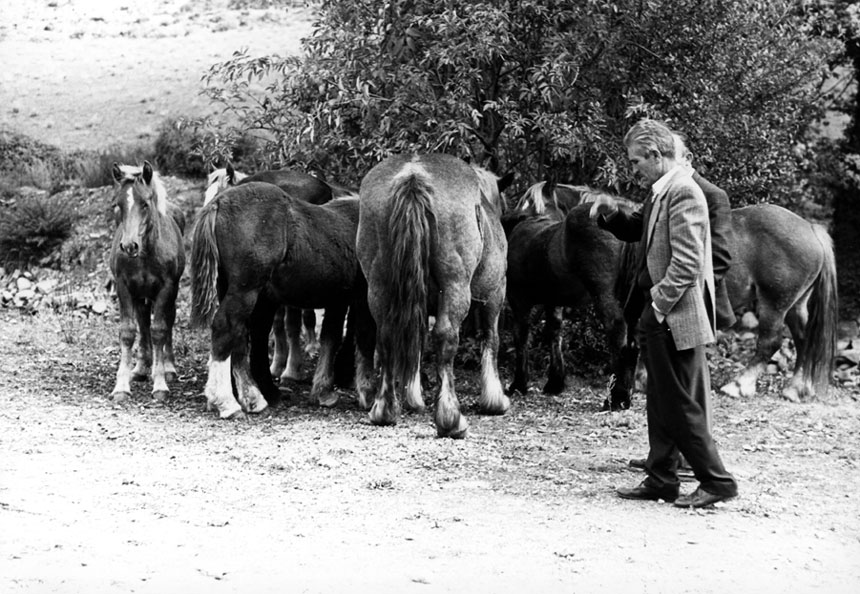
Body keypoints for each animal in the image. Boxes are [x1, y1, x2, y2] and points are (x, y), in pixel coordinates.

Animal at [109, 162, 186, 402]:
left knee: (167, 321)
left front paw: (160, 384)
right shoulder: (124, 288)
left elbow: (160, 329)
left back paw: (168, 368)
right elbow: (128, 332)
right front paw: (121, 385)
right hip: (140, 294)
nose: (129, 245)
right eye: (118, 205)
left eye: (144, 203)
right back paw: (142, 369)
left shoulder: (166, 289)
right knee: (143, 323)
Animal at [191, 180, 372, 416]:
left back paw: (252, 397)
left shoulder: (339, 300)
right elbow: (363, 338)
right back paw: (226, 401)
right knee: (225, 328)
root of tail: (218, 203)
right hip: (245, 290)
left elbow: (331, 337)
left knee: (238, 334)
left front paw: (324, 391)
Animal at [356, 155, 510, 438]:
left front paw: (413, 396)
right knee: (446, 337)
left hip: (379, 287)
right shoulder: (495, 293)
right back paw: (450, 418)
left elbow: (416, 342)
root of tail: (414, 175)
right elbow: (491, 339)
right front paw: (494, 399)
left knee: (386, 336)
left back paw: (384, 410)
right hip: (456, 286)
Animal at [500, 183, 636, 410]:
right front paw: (555, 382)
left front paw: (519, 384)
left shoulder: (518, 301)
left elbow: (521, 337)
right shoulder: (553, 301)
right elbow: (554, 334)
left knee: (617, 334)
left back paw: (617, 398)